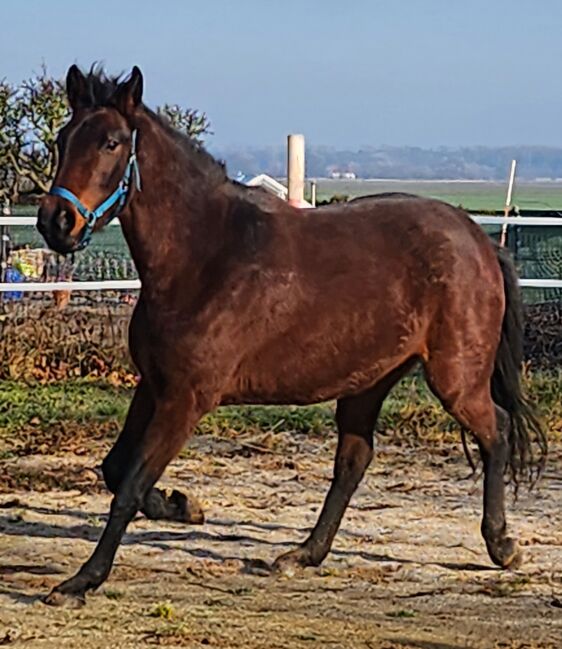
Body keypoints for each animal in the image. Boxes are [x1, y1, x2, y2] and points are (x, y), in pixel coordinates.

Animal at [36, 64, 544, 604]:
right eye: (63, 139)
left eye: (111, 143)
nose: (56, 222)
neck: (203, 258)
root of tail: (481, 242)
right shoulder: (153, 387)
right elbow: (116, 470)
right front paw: (182, 504)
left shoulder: (185, 399)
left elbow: (129, 486)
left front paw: (81, 580)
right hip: (369, 382)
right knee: (354, 459)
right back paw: (303, 555)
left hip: (455, 378)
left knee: (496, 432)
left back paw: (502, 545)